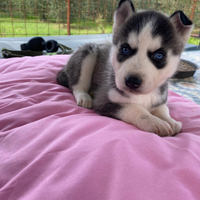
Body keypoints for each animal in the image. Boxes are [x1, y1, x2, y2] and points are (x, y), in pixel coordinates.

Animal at [57, 0, 193, 136]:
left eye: (159, 55)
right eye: (125, 49)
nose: (132, 81)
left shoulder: (159, 100)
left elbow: (163, 109)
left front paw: (170, 121)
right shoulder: (104, 101)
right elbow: (135, 108)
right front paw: (155, 122)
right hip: (88, 54)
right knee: (77, 85)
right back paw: (84, 97)